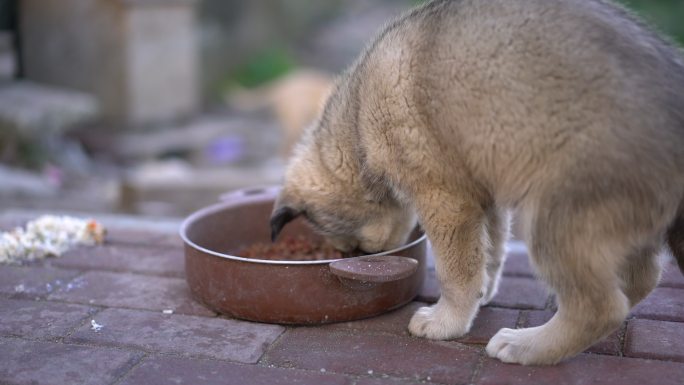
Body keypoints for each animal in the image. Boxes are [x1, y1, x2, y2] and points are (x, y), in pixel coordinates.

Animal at [268, 0, 684, 364]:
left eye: (354, 248)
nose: (362, 256)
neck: (357, 124)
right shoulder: (484, 194)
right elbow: (490, 250)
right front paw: (480, 294)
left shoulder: (445, 198)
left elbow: (456, 271)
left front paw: (445, 322)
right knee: (639, 280)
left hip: (557, 215)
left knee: (601, 306)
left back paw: (527, 347)